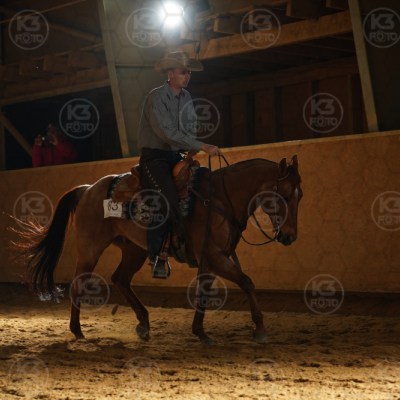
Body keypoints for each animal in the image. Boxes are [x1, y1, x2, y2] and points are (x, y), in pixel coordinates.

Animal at [14, 155, 302, 344]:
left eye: (300, 196)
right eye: (286, 195)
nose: (289, 236)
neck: (220, 198)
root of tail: (87, 189)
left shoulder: (210, 260)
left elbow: (204, 293)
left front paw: (200, 331)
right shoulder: (216, 256)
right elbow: (247, 282)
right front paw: (260, 328)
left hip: (134, 250)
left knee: (120, 279)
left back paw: (143, 322)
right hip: (90, 249)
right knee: (78, 284)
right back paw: (77, 330)